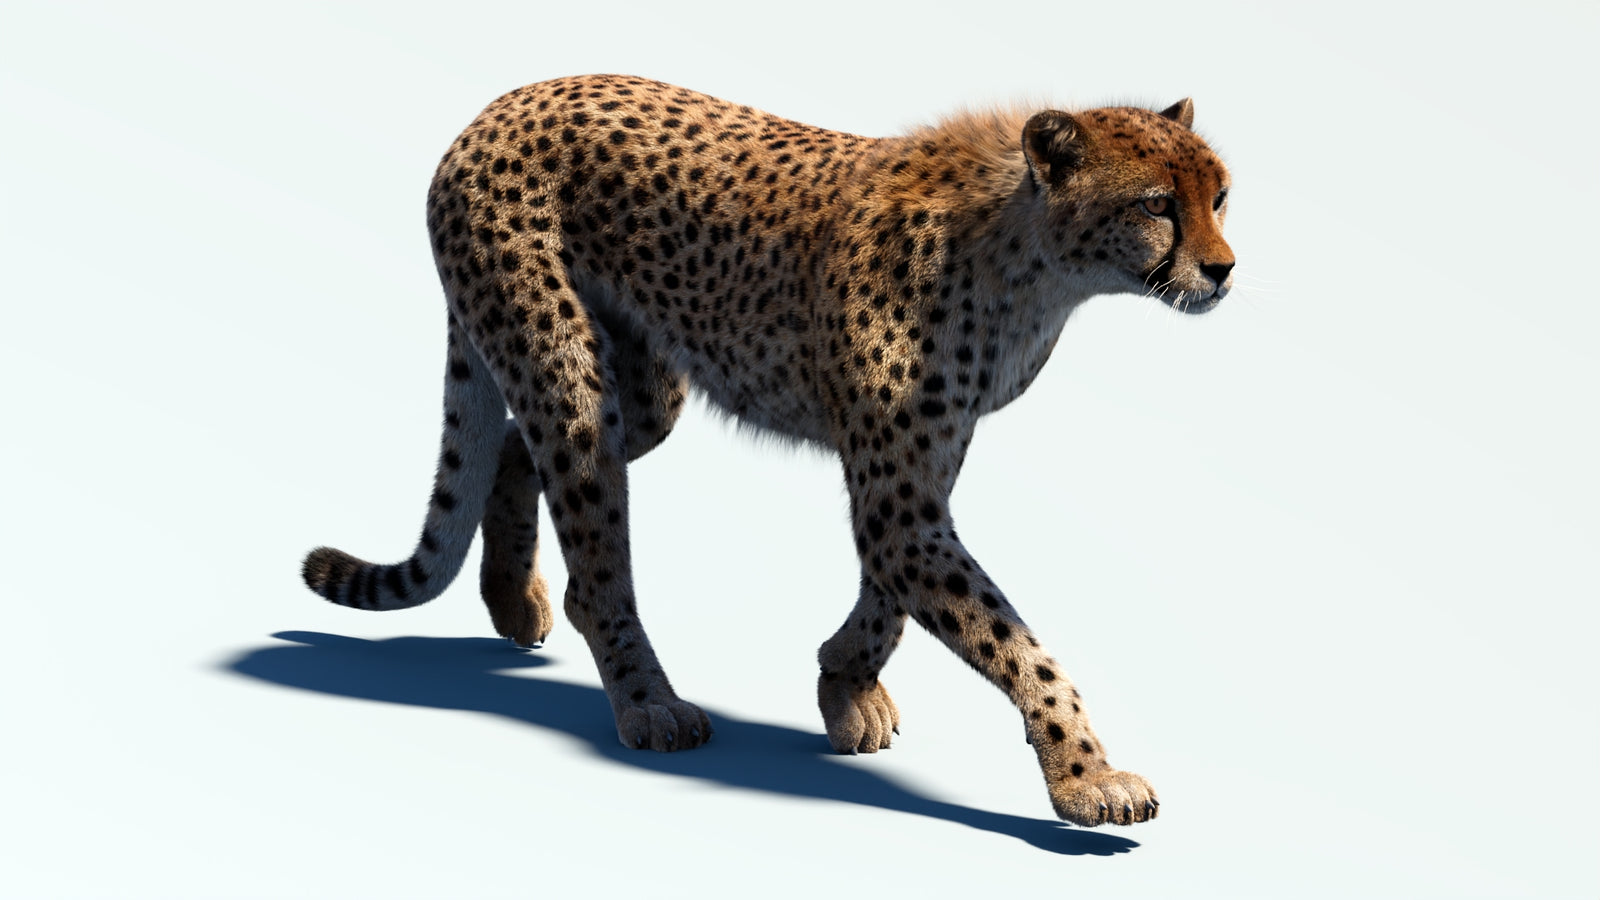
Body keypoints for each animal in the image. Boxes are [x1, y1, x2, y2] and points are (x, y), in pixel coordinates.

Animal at [301, 74, 1234, 828]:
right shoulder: (898, 492)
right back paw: (649, 705)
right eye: (1157, 203)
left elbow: (894, 597)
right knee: (592, 559)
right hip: (566, 371)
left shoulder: (922, 466)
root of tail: (500, 104)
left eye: (1221, 195)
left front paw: (843, 683)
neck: (1031, 261)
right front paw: (1087, 777)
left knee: (509, 451)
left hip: (641, 394)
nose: (1224, 269)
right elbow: (1012, 641)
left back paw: (511, 599)